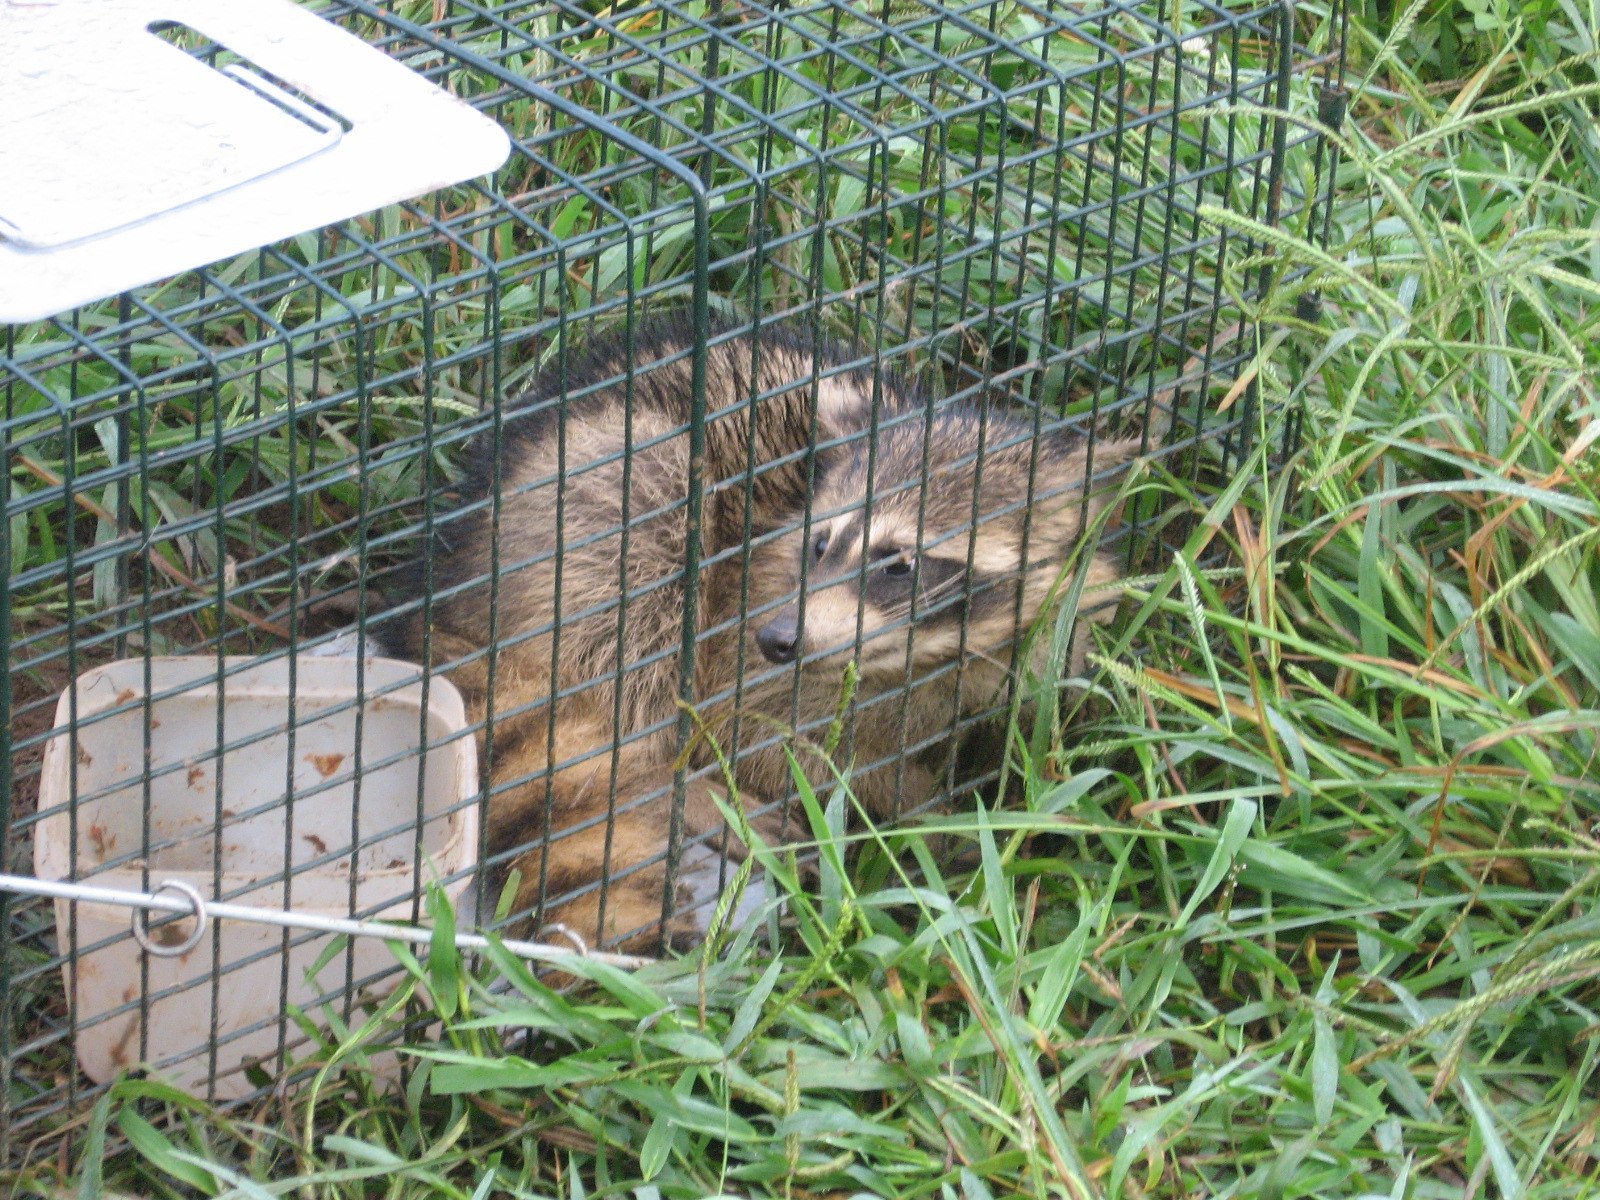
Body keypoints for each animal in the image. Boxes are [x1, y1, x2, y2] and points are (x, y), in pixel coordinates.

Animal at [392, 314, 1137, 951]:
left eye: (900, 563)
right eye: (820, 544)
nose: (780, 639)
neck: (930, 656)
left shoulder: (1054, 635)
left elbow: (1039, 720)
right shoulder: (751, 616)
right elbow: (755, 734)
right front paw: (914, 803)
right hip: (588, 500)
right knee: (636, 598)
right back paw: (675, 781)